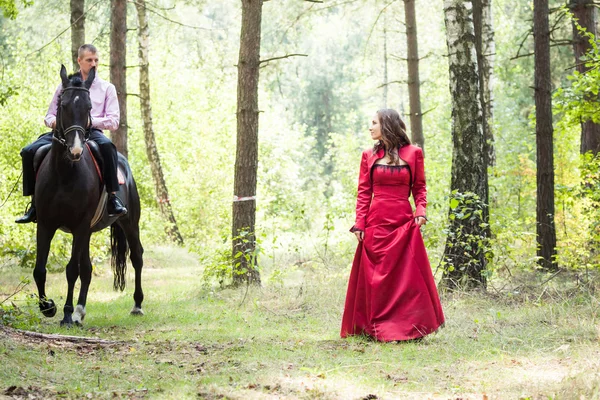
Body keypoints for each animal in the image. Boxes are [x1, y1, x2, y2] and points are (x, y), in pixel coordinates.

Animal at [33, 65, 144, 324]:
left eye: (89, 107)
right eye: (62, 105)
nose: (75, 150)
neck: (64, 174)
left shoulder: (80, 225)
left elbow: (71, 270)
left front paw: (64, 313)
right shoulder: (45, 223)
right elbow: (40, 269)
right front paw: (48, 307)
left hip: (128, 222)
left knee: (136, 257)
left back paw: (136, 304)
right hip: (88, 232)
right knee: (88, 268)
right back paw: (80, 311)